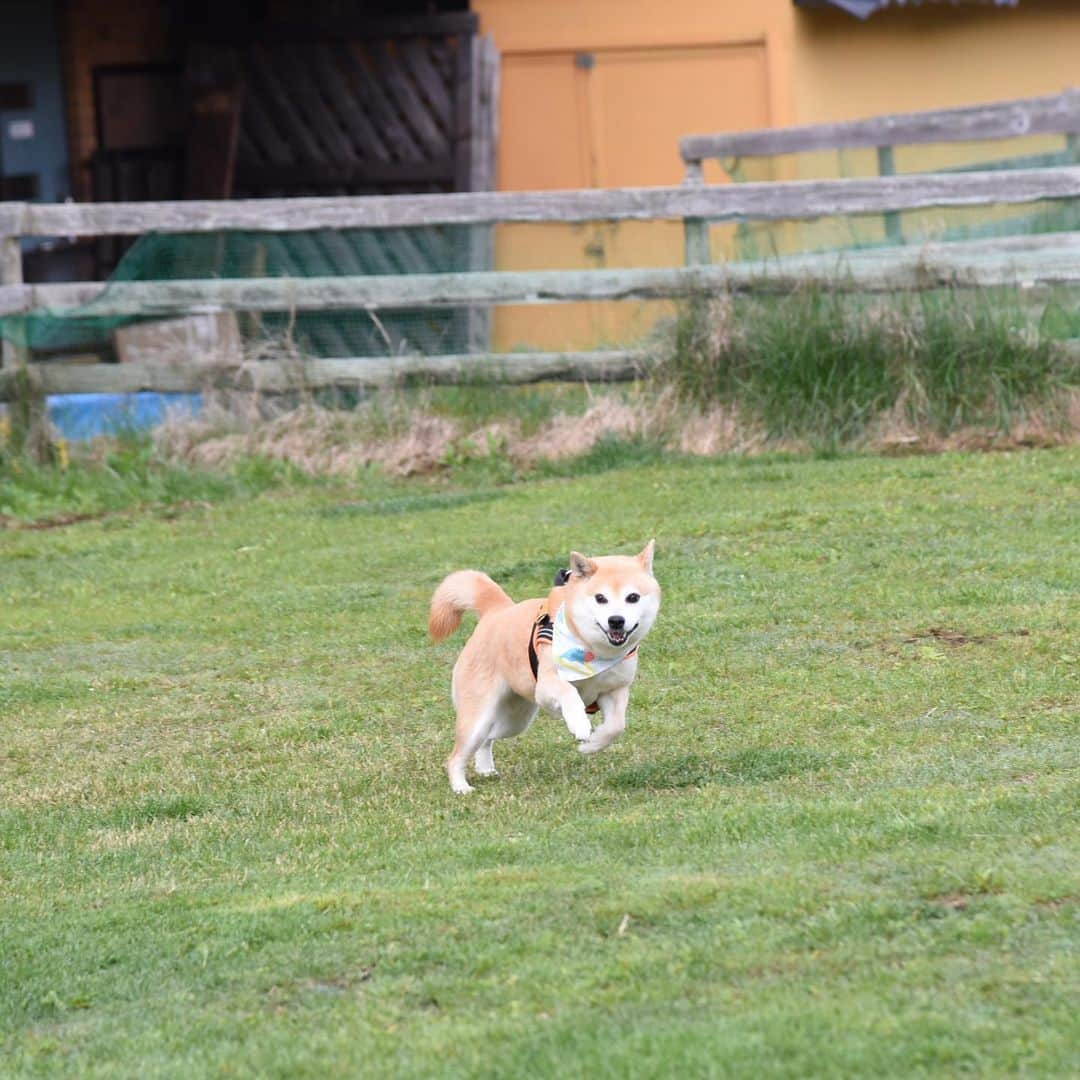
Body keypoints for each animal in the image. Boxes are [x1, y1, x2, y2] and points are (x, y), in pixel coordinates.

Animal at [427, 544, 656, 790]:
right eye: (600, 598)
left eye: (632, 597)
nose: (616, 620)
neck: (593, 649)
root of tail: (496, 611)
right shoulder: (547, 687)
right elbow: (569, 692)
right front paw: (580, 724)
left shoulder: (615, 690)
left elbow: (616, 726)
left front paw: (592, 744)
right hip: (478, 717)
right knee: (455, 757)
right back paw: (461, 787)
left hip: (514, 719)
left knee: (487, 738)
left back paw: (485, 769)